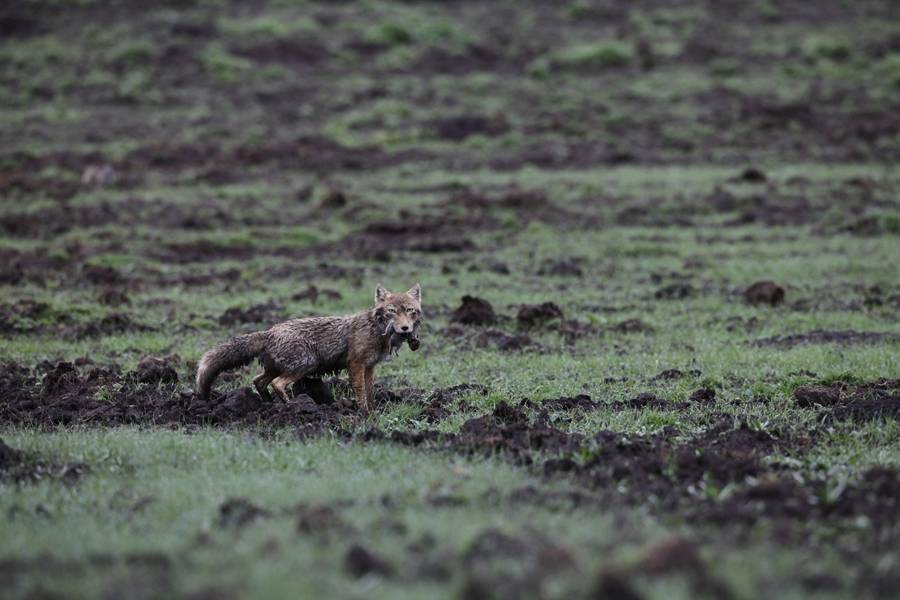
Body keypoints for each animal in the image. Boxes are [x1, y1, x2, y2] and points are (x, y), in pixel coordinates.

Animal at [197, 284, 422, 410]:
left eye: (410, 311)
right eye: (392, 311)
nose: (405, 329)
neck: (376, 329)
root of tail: (270, 331)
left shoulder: (369, 367)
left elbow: (370, 391)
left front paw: (373, 411)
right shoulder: (356, 364)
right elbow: (360, 392)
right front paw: (364, 413)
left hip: (278, 368)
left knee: (258, 381)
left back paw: (269, 404)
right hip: (306, 364)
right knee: (277, 383)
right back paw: (289, 405)